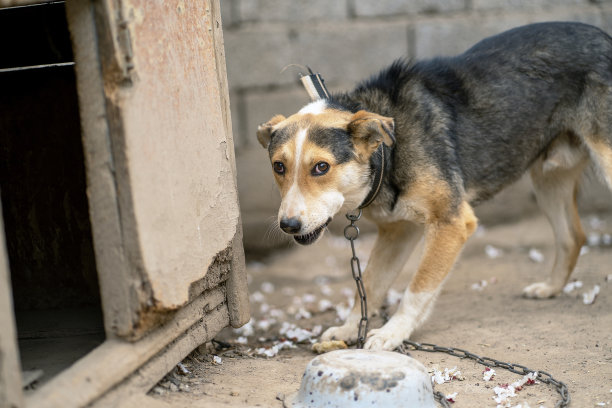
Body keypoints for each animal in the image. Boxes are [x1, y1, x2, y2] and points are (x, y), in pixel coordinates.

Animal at [255, 21, 612, 350]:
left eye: (321, 167)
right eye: (278, 167)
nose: (288, 225)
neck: (389, 151)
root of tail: (603, 35)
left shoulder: (451, 223)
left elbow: (417, 288)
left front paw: (392, 332)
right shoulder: (398, 230)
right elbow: (370, 283)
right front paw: (349, 328)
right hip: (548, 177)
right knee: (572, 236)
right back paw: (550, 288)